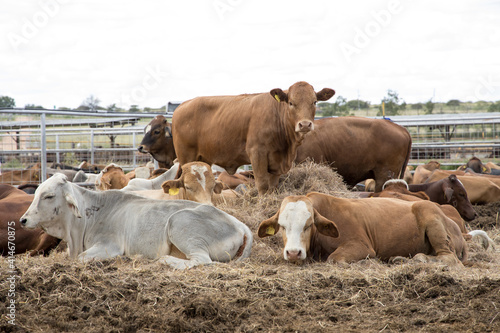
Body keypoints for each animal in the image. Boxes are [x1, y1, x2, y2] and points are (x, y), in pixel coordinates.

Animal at [21, 172, 252, 268]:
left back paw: (165, 261)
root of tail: (241, 225)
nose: (23, 220)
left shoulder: (109, 245)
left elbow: (83, 258)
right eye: (36, 192)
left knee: (201, 260)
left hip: (180, 222)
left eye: (49, 196)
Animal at [173, 81, 336, 195]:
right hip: (186, 156)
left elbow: (273, 187)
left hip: (203, 158)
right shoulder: (257, 153)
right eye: (291, 102)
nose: (305, 124)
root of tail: (182, 105)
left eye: (314, 102)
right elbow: (262, 185)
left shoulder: (276, 163)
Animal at [260, 192, 466, 264]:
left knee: (448, 257)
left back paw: (419, 259)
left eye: (309, 225)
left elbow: (335, 258)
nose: (293, 253)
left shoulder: (362, 246)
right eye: (282, 226)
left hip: (431, 218)